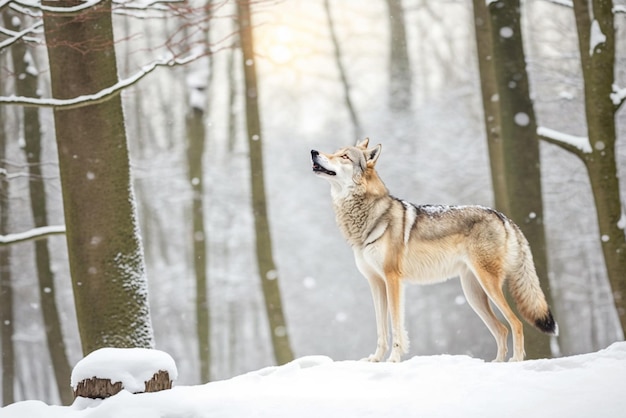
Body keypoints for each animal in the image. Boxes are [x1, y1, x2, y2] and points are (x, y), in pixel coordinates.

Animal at [310, 139, 560, 360]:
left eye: (344, 156)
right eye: (334, 151)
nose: (313, 151)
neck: (366, 217)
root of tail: (504, 217)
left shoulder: (392, 280)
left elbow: (396, 326)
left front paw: (393, 360)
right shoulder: (375, 282)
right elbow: (381, 329)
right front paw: (376, 359)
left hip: (488, 286)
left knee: (515, 323)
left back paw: (515, 362)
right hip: (473, 293)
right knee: (502, 329)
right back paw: (497, 363)